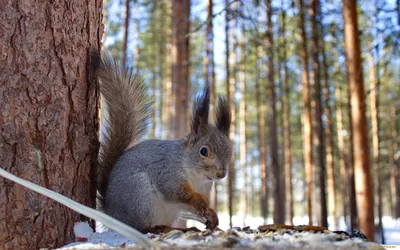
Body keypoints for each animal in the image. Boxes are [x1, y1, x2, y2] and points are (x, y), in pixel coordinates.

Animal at [93, 52, 231, 232]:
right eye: (204, 151)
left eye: (230, 152)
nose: (221, 175)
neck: (196, 176)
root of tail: (112, 214)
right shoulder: (165, 172)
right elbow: (176, 192)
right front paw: (198, 201)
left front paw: (211, 213)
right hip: (140, 197)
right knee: (140, 227)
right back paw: (156, 229)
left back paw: (179, 229)